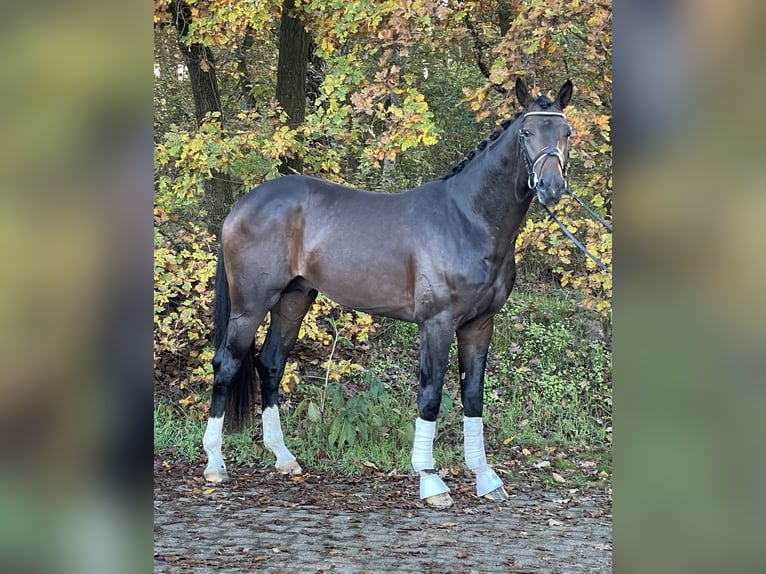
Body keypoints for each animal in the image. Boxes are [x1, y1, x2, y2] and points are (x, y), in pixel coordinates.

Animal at [204, 79, 576, 510]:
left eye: (566, 133)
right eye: (526, 132)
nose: (552, 188)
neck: (467, 219)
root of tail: (242, 205)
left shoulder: (479, 325)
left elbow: (473, 396)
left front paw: (486, 478)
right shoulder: (437, 323)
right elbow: (430, 394)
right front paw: (430, 480)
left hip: (293, 300)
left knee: (270, 365)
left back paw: (284, 458)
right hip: (250, 305)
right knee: (226, 364)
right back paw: (214, 464)